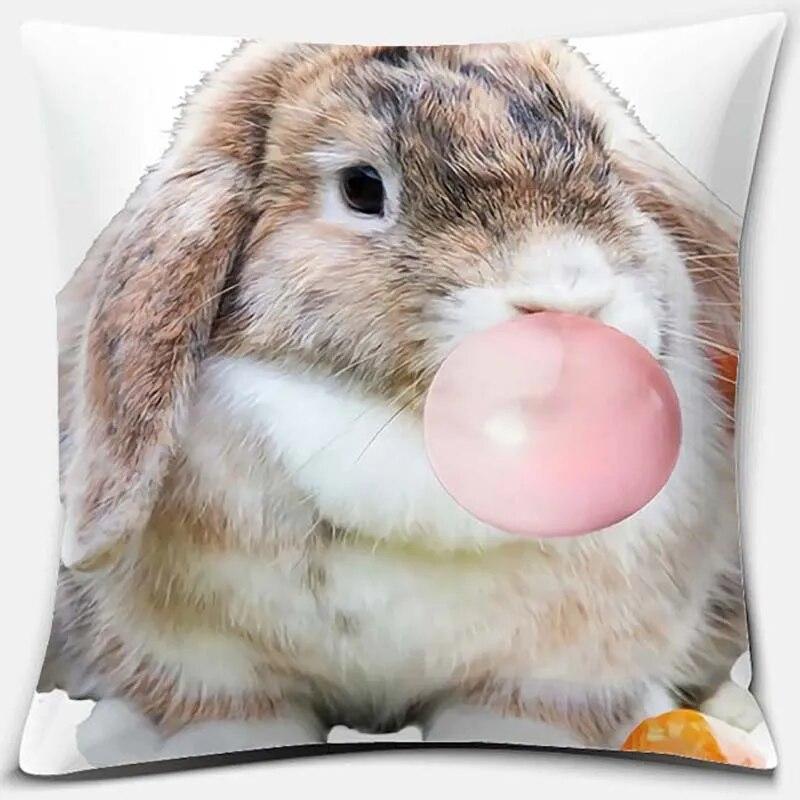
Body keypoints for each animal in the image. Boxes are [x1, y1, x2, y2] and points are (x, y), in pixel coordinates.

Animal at [45, 40, 750, 752]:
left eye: (604, 161)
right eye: (361, 187)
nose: (569, 303)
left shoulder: (560, 669)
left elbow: (515, 712)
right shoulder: (206, 661)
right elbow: (232, 711)